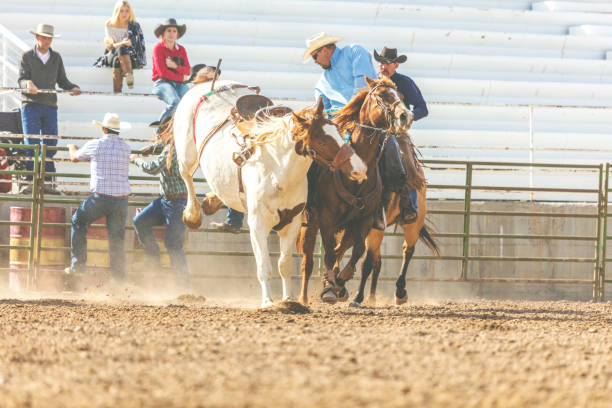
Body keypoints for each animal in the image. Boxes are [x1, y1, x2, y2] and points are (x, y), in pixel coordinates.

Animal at [298, 77, 414, 306]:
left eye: (402, 96)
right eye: (381, 95)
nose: (405, 116)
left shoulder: (365, 219)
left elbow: (356, 252)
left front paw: (340, 280)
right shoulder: (326, 218)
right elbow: (329, 254)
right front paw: (330, 288)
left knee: (345, 249)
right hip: (310, 222)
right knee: (308, 260)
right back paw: (304, 298)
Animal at [350, 143, 440, 306]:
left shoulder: (374, 229)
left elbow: (366, 263)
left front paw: (357, 297)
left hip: (413, 225)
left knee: (407, 251)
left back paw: (400, 292)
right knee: (378, 261)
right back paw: (372, 298)